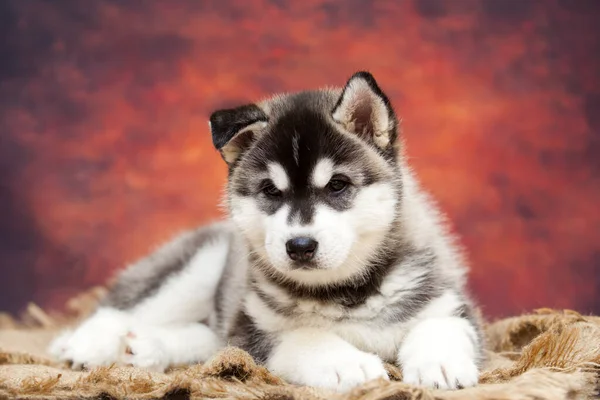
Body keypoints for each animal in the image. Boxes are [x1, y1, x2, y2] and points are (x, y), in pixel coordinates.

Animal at [49, 71, 486, 390]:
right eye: (271, 191)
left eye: (338, 185)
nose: (300, 245)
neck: (341, 292)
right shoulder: (253, 332)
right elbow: (302, 335)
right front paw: (349, 364)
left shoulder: (450, 301)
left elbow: (441, 324)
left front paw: (440, 364)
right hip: (198, 266)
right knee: (120, 308)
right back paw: (85, 344)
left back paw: (146, 349)